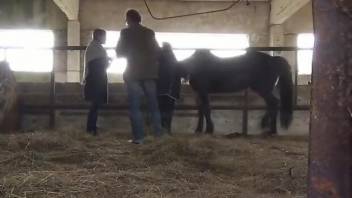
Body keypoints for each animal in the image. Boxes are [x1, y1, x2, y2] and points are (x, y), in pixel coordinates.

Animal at [159, 47, 292, 135]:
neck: (194, 66)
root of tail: (273, 59)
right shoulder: (199, 93)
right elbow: (201, 110)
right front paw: (199, 129)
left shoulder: (203, 92)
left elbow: (206, 109)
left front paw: (209, 129)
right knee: (272, 104)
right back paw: (269, 127)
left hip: (262, 88)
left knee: (274, 103)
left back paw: (270, 129)